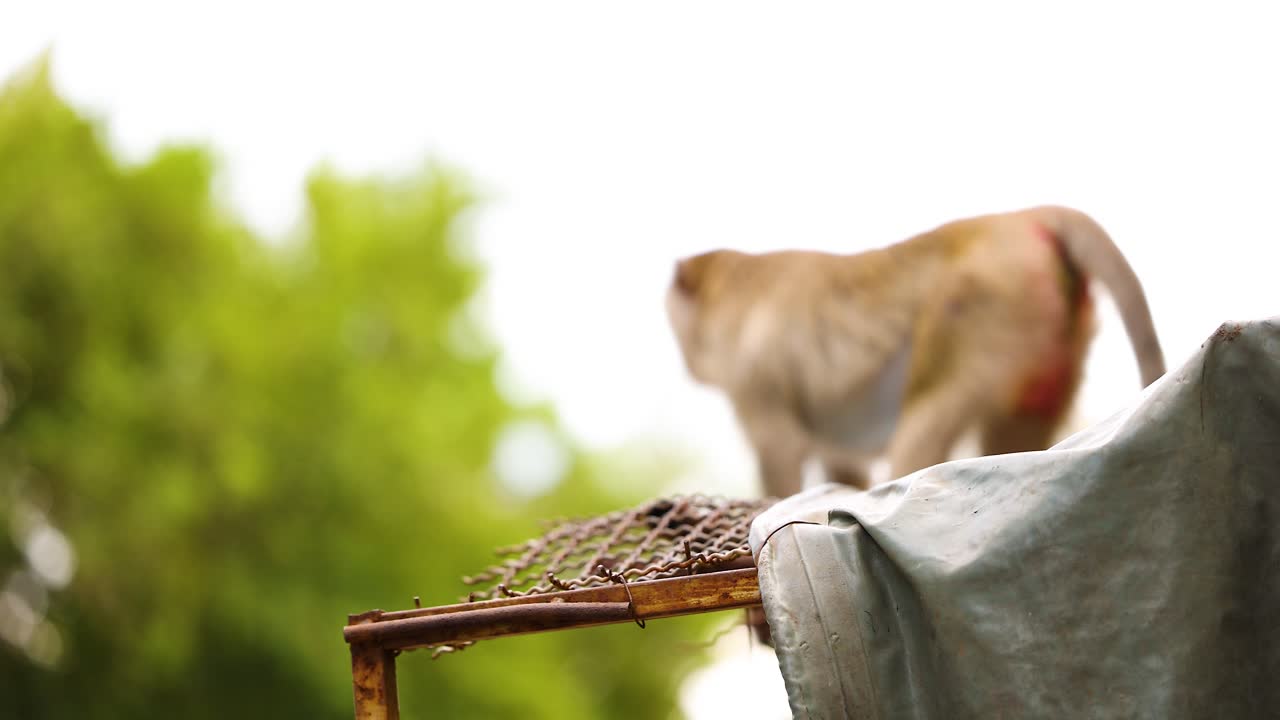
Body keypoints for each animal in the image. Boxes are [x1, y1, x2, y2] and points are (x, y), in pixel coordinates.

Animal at [666, 205, 1165, 498]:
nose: (685, 363)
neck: (734, 282)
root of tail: (1023, 216)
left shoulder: (751, 375)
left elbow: (781, 449)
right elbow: (841, 464)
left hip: (981, 302)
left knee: (925, 417)